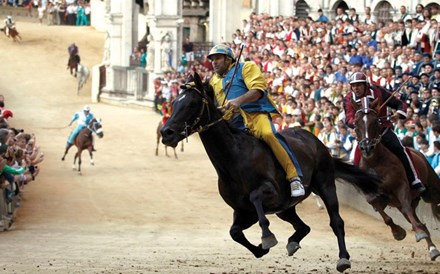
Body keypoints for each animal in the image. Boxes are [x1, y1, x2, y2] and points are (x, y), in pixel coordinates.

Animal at [161, 72, 382, 272]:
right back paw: (293, 242)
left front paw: (267, 237)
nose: (166, 133)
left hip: (325, 184)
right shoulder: (244, 210)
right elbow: (234, 232)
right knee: (303, 227)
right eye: (174, 103)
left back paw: (343, 258)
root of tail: (314, 139)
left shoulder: (271, 193)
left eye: (192, 103)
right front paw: (261, 248)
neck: (234, 158)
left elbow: (256, 197)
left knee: (337, 222)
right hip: (286, 207)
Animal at [354, 97, 440, 262]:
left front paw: (416, 232)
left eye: (375, 122)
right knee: (419, 221)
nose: (367, 147)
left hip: (431, 190)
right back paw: (432, 249)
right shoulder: (372, 195)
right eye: (356, 124)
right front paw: (398, 232)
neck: (375, 162)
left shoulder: (401, 187)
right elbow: (383, 213)